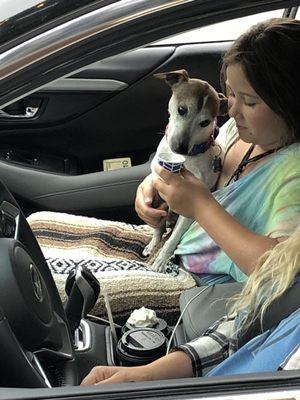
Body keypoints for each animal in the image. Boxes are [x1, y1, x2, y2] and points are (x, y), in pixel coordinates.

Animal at [143, 70, 227, 274]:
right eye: (182, 110)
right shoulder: (157, 187)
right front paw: (154, 243)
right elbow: (158, 228)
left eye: (205, 122)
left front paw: (161, 260)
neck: (185, 161)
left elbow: (173, 239)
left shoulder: (189, 207)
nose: (180, 148)